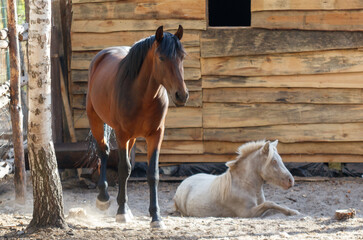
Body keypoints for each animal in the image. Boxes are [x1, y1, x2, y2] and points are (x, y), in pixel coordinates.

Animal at [86, 25, 188, 228]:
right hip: (96, 120)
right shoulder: (122, 134)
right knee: (104, 152)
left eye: (182, 56)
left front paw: (156, 217)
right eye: (161, 58)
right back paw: (104, 197)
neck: (142, 95)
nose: (181, 95)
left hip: (132, 137)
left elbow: (152, 174)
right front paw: (121, 212)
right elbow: (123, 168)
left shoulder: (156, 135)